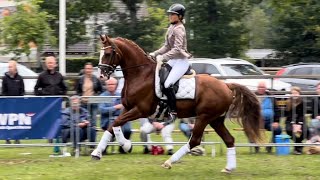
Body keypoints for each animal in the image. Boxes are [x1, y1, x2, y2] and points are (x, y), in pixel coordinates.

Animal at [95, 35, 262, 173]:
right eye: (100, 53)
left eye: (108, 54)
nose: (102, 76)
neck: (141, 74)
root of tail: (226, 86)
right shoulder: (128, 108)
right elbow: (113, 125)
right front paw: (99, 152)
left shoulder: (140, 110)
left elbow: (116, 123)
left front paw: (126, 145)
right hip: (215, 119)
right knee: (229, 139)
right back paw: (229, 168)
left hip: (204, 117)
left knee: (195, 140)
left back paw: (169, 162)